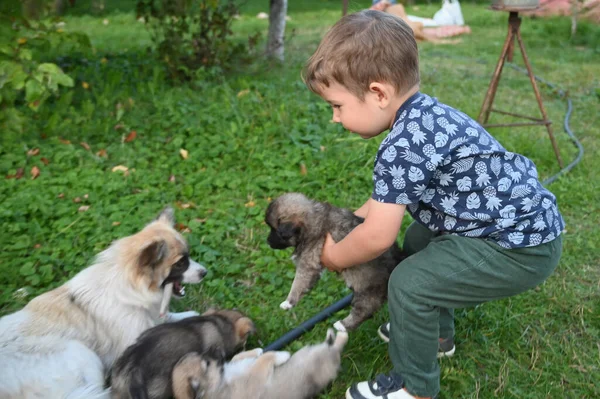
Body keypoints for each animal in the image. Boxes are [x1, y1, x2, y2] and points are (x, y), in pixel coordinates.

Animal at [264, 193, 406, 332]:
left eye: (275, 230)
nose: (268, 242)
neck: (313, 218)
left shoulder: (308, 262)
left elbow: (298, 283)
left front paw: (288, 302)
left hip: (368, 288)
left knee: (365, 309)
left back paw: (343, 325)